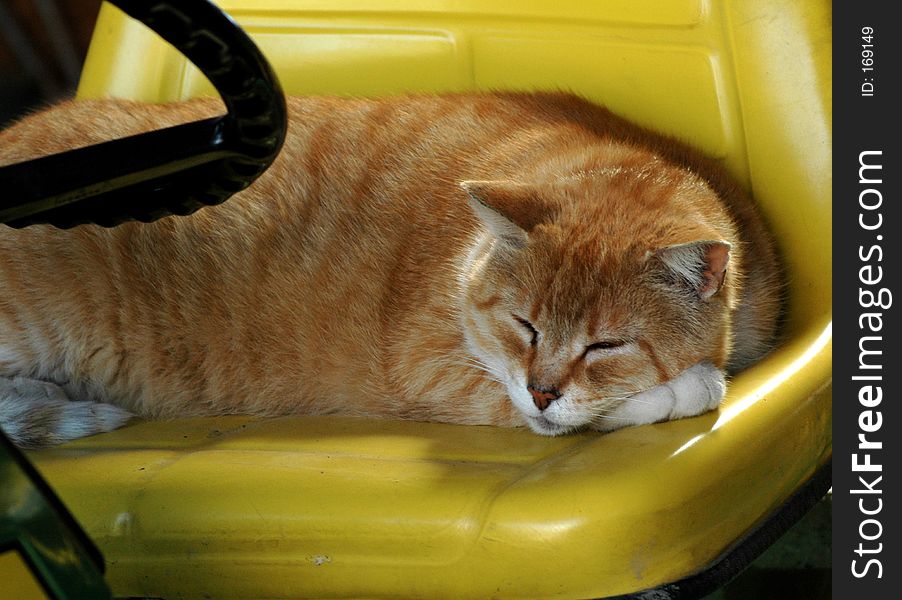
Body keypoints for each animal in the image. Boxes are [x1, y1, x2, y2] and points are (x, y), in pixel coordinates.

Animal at [0, 91, 784, 448]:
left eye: (606, 343)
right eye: (524, 324)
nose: (542, 391)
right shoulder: (436, 370)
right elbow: (652, 396)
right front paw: (688, 385)